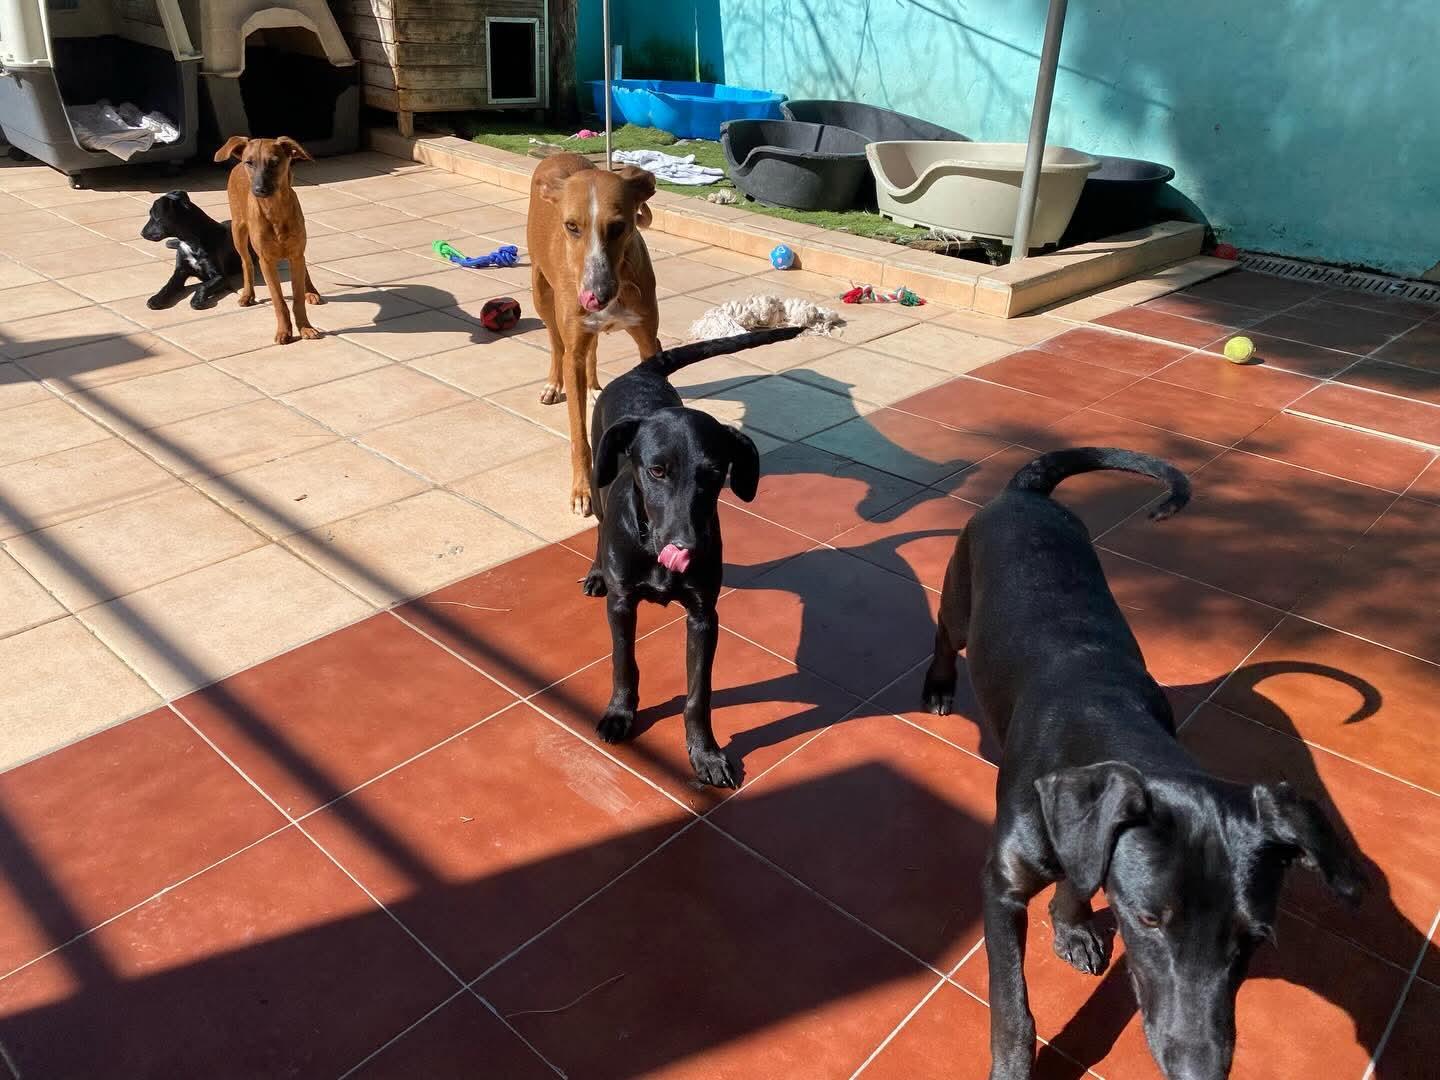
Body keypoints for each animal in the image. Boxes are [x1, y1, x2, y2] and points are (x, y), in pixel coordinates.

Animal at [213, 135, 322, 345]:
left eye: (274, 162)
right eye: (250, 163)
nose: (259, 189)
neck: (275, 211)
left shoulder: (296, 254)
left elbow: (297, 299)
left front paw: (305, 327)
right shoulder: (266, 261)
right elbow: (279, 301)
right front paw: (284, 331)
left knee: (304, 266)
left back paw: (311, 291)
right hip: (238, 230)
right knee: (246, 262)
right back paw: (247, 294)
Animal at [527, 152, 660, 517]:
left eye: (618, 227)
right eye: (572, 226)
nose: (596, 296)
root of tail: (560, 154)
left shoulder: (649, 341)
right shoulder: (573, 343)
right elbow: (579, 435)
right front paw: (582, 491)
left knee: (594, 346)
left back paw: (593, 386)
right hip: (540, 293)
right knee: (556, 343)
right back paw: (553, 384)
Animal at [583, 326, 803, 788]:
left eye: (715, 474)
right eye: (657, 471)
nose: (687, 547)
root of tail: (641, 372)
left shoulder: (704, 616)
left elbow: (698, 693)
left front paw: (705, 753)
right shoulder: (622, 604)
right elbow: (623, 662)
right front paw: (620, 713)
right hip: (596, 476)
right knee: (597, 519)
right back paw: (596, 572)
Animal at [921, 448, 1365, 1080]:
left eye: (1254, 937)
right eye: (1150, 921)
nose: (1200, 1071)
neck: (1115, 726)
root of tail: (1026, 492)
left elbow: (1082, 875)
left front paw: (1073, 923)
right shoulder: (1001, 886)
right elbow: (1012, 1010)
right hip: (962, 594)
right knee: (944, 631)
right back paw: (937, 686)